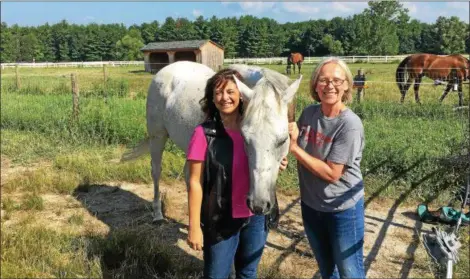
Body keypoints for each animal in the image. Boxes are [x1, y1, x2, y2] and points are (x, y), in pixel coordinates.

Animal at [123, 61, 302, 221]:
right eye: (245, 139)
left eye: (283, 140)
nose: (258, 205)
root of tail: (164, 70)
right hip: (157, 137)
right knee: (156, 171)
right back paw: (158, 214)